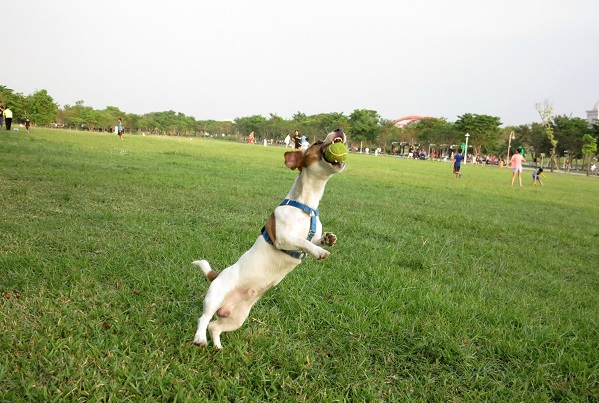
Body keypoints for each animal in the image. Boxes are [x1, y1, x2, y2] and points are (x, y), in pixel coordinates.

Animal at [193, 130, 346, 350]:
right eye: (317, 142)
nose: (339, 129)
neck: (306, 206)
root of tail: (216, 275)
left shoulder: (309, 233)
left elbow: (314, 239)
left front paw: (328, 238)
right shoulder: (283, 237)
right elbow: (304, 242)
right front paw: (319, 252)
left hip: (237, 317)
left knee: (215, 326)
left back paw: (218, 347)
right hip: (215, 297)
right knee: (204, 319)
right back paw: (200, 338)